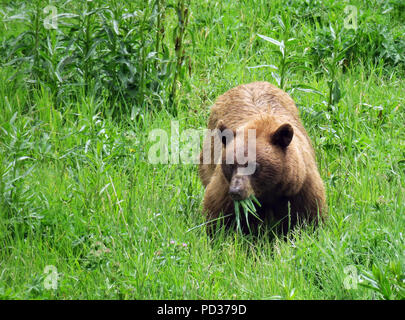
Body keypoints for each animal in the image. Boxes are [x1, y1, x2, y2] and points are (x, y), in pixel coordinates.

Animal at [199, 81, 326, 234]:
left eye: (254, 166)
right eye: (230, 165)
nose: (236, 191)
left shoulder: (300, 186)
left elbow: (308, 216)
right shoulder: (223, 186)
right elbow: (219, 214)